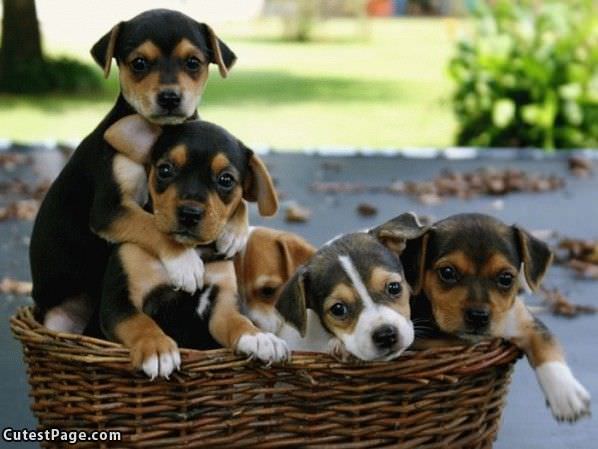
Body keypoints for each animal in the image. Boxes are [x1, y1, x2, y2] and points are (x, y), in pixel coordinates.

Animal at [30, 8, 244, 334]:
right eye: (139, 63)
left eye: (193, 62)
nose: (170, 97)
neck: (157, 133)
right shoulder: (109, 209)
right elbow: (151, 224)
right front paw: (184, 263)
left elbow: (238, 201)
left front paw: (234, 232)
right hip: (59, 319)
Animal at [100, 114, 286, 374]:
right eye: (165, 169)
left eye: (226, 179)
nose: (189, 213)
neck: (195, 249)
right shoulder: (118, 302)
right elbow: (140, 322)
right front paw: (157, 348)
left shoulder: (222, 306)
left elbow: (238, 321)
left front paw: (258, 337)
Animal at [406, 213, 592, 420]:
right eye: (447, 272)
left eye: (506, 278)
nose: (478, 316)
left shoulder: (520, 319)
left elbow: (545, 343)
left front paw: (566, 395)